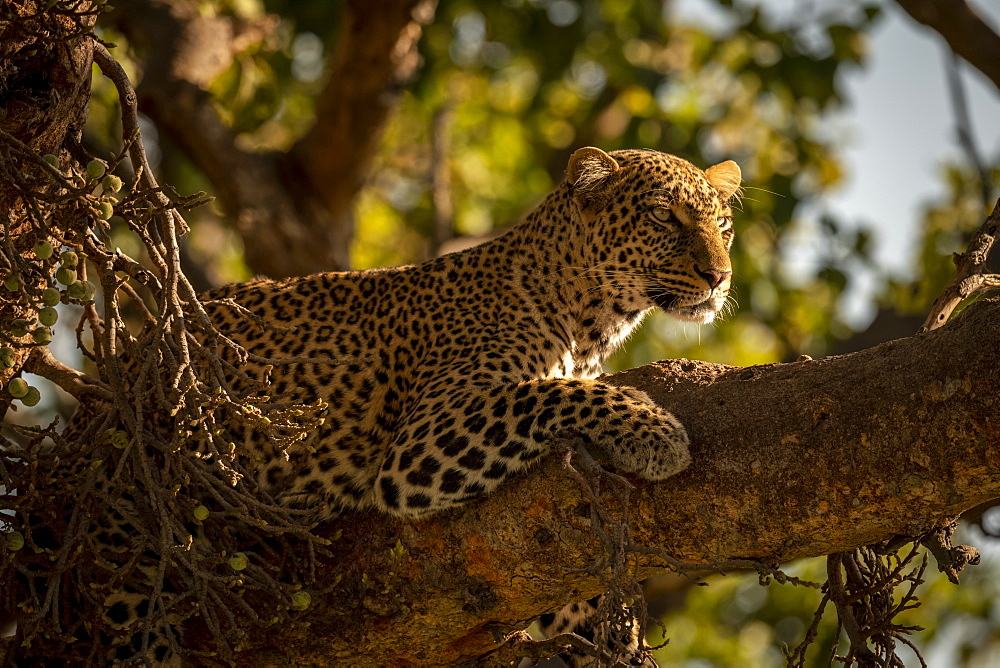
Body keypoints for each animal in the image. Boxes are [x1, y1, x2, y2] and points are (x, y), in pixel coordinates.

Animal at [11, 145, 744, 664]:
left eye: (723, 225)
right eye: (664, 217)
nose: (720, 276)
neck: (590, 324)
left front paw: (614, 634)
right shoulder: (425, 440)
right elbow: (550, 390)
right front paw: (653, 430)